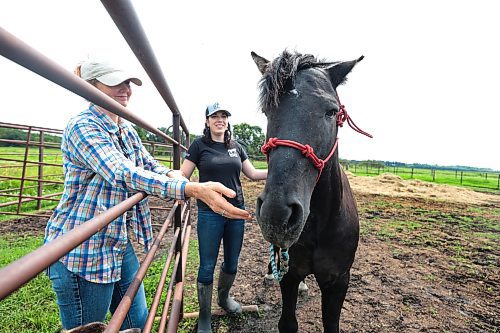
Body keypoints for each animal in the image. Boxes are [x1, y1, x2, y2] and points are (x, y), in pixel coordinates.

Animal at [254, 50, 372, 332]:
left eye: (331, 111)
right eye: (266, 111)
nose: (277, 214)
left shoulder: (338, 281)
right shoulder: (289, 276)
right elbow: (287, 323)